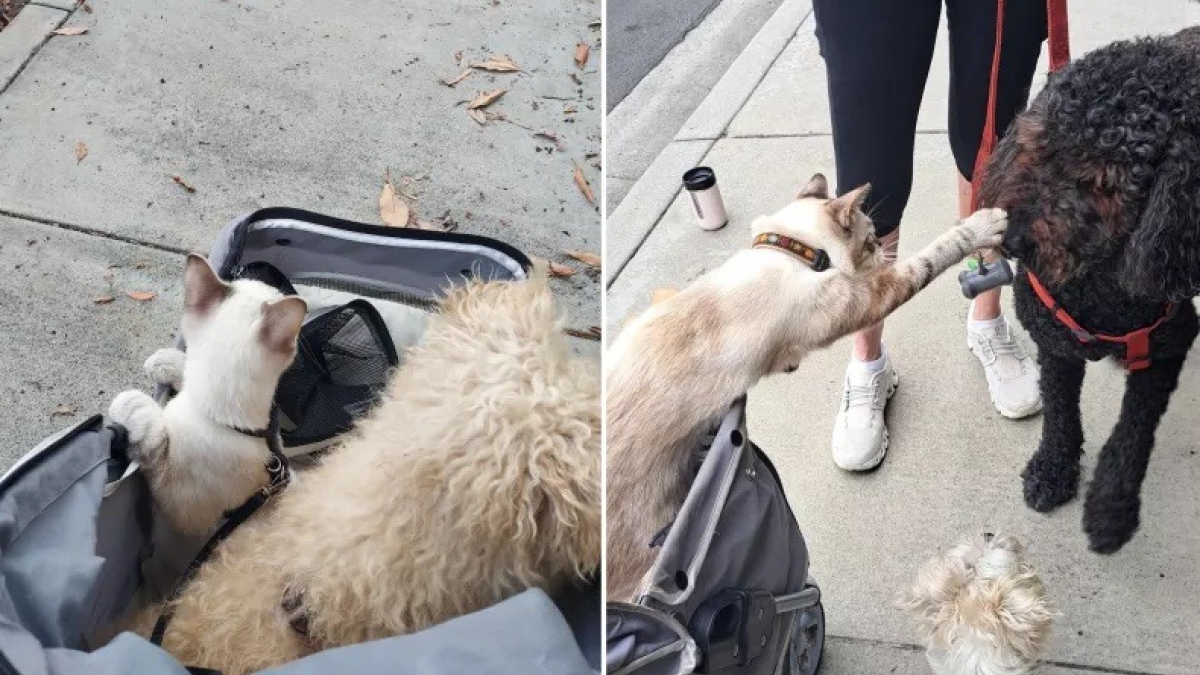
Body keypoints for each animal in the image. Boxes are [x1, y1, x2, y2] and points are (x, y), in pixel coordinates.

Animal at [108, 254, 307, 533]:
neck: (223, 421)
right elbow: (187, 369)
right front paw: (164, 362)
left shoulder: (183, 516)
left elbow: (157, 443)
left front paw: (131, 402)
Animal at [979, 27, 1200, 552]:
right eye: (1036, 145)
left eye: (1104, 181)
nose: (1013, 239)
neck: (1098, 290)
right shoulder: (1056, 344)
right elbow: (1060, 413)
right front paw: (1053, 471)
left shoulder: (1165, 347)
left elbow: (1131, 435)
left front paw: (1110, 510)